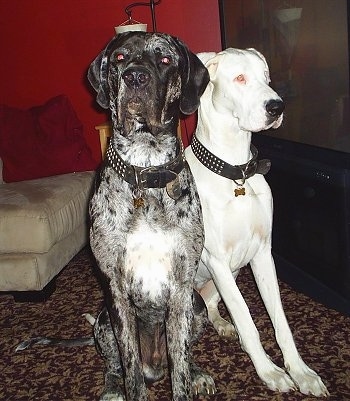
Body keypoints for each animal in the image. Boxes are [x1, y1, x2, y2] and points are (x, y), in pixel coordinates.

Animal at [87, 32, 213, 400]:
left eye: (166, 59)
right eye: (119, 57)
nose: (135, 77)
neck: (146, 166)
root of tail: (154, 366)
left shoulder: (183, 288)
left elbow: (180, 365)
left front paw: (187, 381)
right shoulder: (116, 292)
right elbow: (130, 367)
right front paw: (129, 388)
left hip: (198, 307)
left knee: (183, 356)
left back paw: (198, 372)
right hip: (102, 322)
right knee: (115, 365)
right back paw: (112, 388)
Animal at [185, 48, 330, 396]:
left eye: (267, 78)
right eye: (240, 78)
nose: (277, 106)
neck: (236, 173)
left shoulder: (263, 253)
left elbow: (280, 322)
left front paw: (301, 372)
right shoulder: (218, 260)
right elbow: (249, 322)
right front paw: (270, 372)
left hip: (229, 276)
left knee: (211, 306)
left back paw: (223, 326)